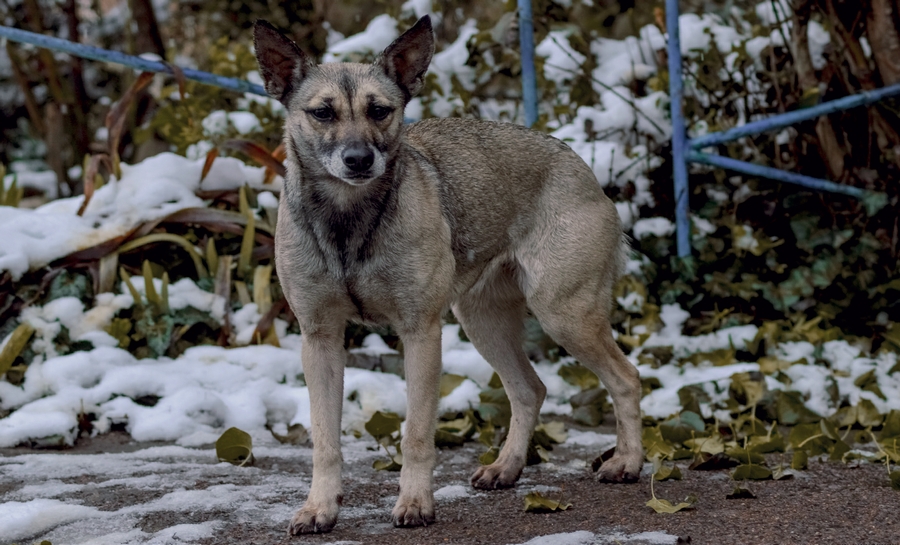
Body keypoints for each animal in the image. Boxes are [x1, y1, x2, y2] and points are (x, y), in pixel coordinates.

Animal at [253, 14, 644, 532]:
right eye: (322, 113)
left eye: (380, 111)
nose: (359, 160)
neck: (349, 219)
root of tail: (578, 164)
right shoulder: (320, 339)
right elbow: (324, 440)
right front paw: (320, 507)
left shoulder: (420, 333)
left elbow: (417, 434)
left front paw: (415, 503)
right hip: (483, 322)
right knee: (529, 390)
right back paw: (506, 468)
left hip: (566, 314)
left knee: (626, 379)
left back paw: (628, 462)